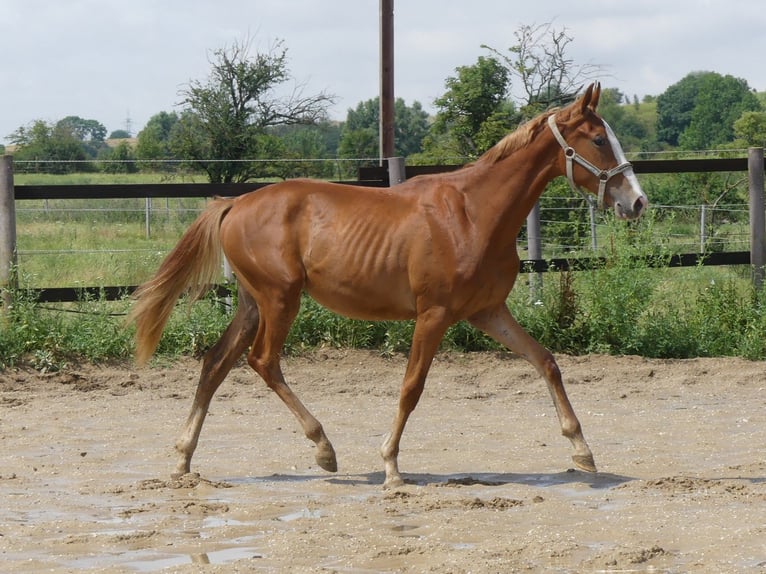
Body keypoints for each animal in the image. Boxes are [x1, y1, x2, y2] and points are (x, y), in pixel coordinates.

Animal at [130, 84, 648, 490]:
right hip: (280, 300)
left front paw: (582, 451)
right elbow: (411, 387)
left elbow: (546, 362)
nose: (637, 202)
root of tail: (234, 205)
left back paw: (183, 459)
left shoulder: (487, 311)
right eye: (598, 139)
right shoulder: (434, 314)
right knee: (262, 361)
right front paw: (391, 466)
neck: (473, 213)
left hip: (253, 303)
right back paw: (323, 449)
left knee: (215, 363)